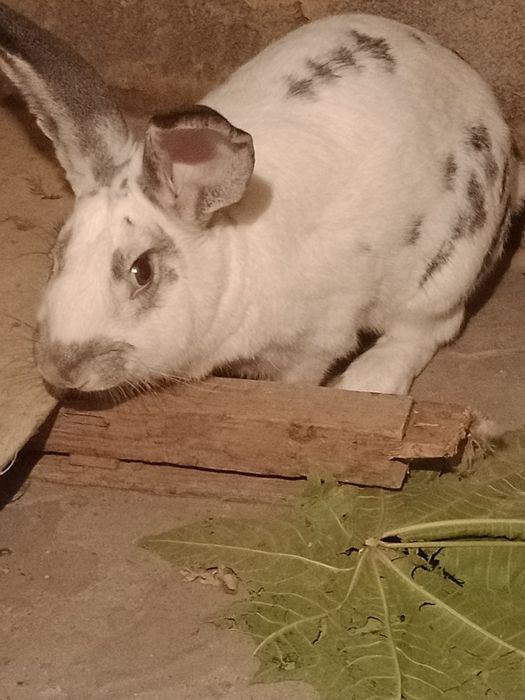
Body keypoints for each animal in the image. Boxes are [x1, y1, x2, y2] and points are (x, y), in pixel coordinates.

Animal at [0, 3, 522, 395]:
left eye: (142, 271)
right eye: (56, 256)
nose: (60, 368)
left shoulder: (318, 339)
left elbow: (303, 375)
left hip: (444, 274)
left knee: (425, 330)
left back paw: (368, 382)